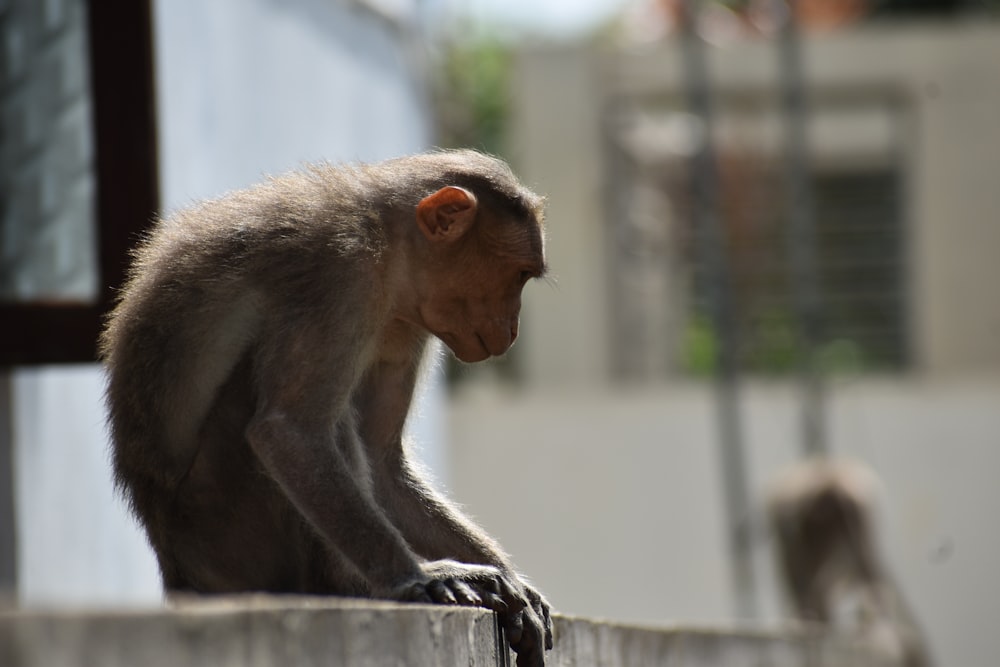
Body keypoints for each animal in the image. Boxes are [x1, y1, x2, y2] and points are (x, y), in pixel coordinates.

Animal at [99, 149, 556, 664]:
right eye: (518, 274)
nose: (513, 329)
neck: (390, 245)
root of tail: (178, 569)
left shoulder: (407, 318)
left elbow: (382, 462)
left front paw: (511, 581)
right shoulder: (343, 270)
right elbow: (288, 431)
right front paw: (417, 578)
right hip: (225, 523)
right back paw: (355, 584)